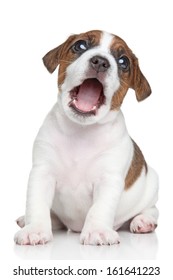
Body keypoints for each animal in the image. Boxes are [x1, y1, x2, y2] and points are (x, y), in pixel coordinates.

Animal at [14, 30, 159, 245]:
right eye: (80, 46)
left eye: (123, 62)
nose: (100, 62)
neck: (81, 130)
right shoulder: (42, 173)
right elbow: (36, 203)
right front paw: (35, 229)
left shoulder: (109, 179)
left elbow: (100, 208)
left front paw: (98, 230)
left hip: (152, 184)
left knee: (152, 209)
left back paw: (143, 221)